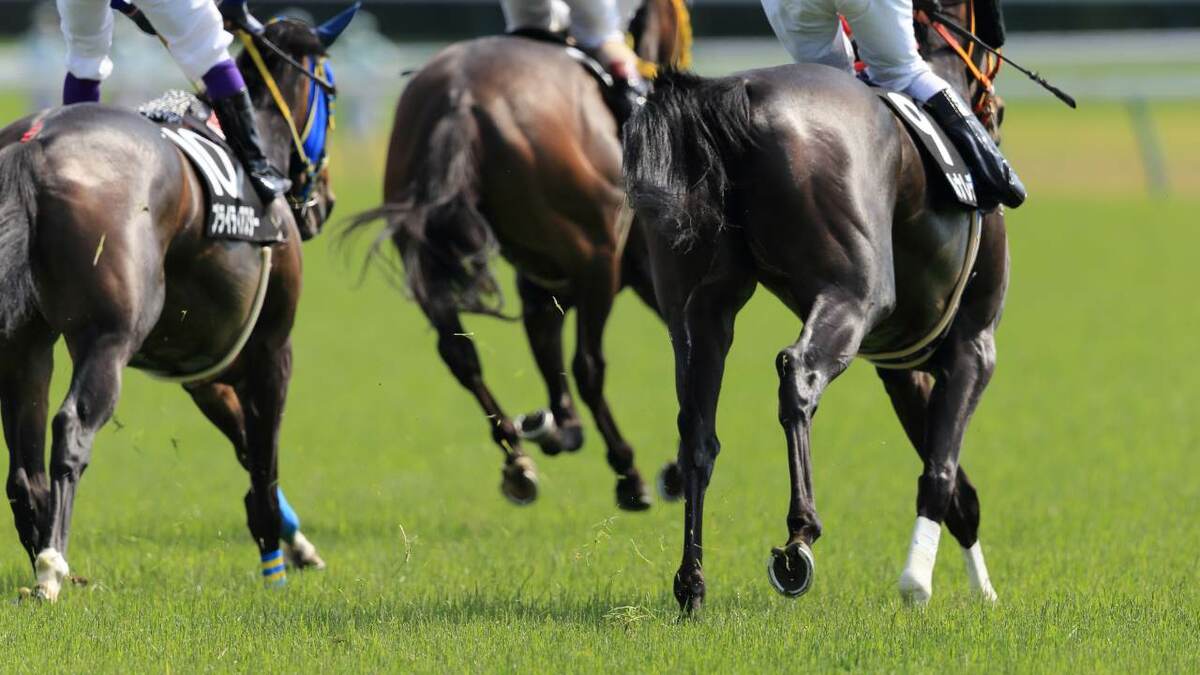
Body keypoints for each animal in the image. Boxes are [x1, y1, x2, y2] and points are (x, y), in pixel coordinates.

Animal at [0, 12, 356, 601]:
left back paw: (49, 565)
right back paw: (52, 568)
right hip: (109, 336)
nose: (323, 200)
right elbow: (264, 460)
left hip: (25, 344)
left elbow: (246, 447)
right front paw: (274, 564)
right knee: (72, 428)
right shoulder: (271, 347)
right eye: (331, 89)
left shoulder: (203, 372)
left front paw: (300, 545)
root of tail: (33, 146)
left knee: (23, 472)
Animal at [345, 0, 691, 510]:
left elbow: (544, 343)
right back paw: (628, 471)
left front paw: (558, 428)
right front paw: (673, 470)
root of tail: (460, 98)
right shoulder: (639, 271)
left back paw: (519, 460)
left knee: (461, 354)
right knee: (588, 366)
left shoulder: (543, 279)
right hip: (597, 259)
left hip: (425, 257)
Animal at [623, 1, 1010, 612]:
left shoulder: (902, 367)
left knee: (696, 431)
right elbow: (942, 471)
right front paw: (919, 583)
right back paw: (798, 539)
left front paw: (983, 592)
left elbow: (956, 487)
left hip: (698, 309)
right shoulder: (975, 343)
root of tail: (735, 95)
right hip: (855, 293)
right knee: (798, 373)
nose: (994, 110)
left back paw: (691, 582)